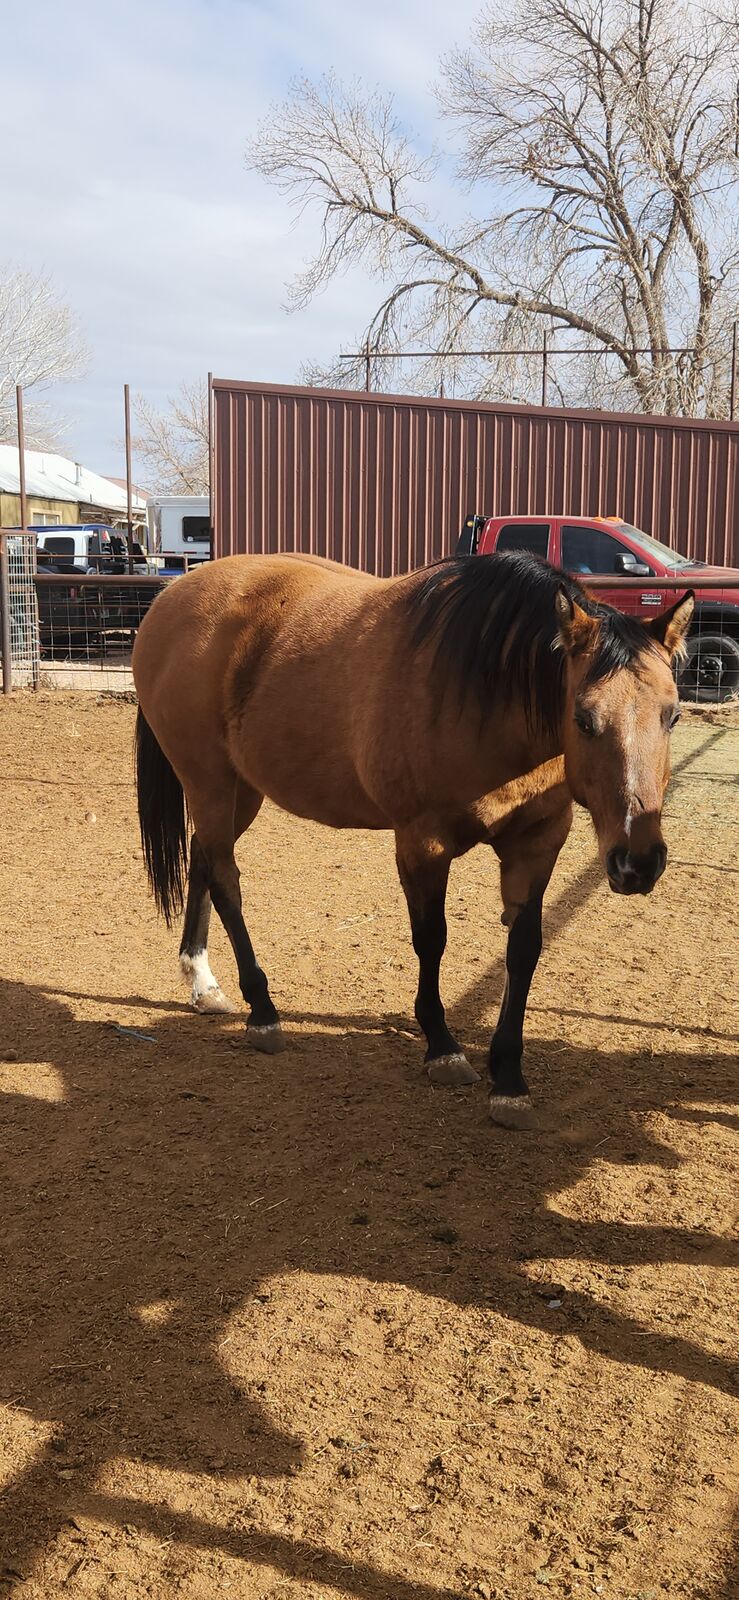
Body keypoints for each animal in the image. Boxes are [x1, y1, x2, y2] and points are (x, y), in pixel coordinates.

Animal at [132, 550, 693, 1129]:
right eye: (583, 719)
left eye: (673, 715)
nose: (637, 862)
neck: (490, 694)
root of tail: (170, 600)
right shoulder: (423, 843)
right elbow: (432, 939)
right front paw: (442, 1046)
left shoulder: (537, 843)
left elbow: (524, 951)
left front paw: (509, 1079)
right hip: (210, 783)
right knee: (225, 880)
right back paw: (262, 1012)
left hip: (241, 792)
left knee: (202, 860)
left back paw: (202, 982)